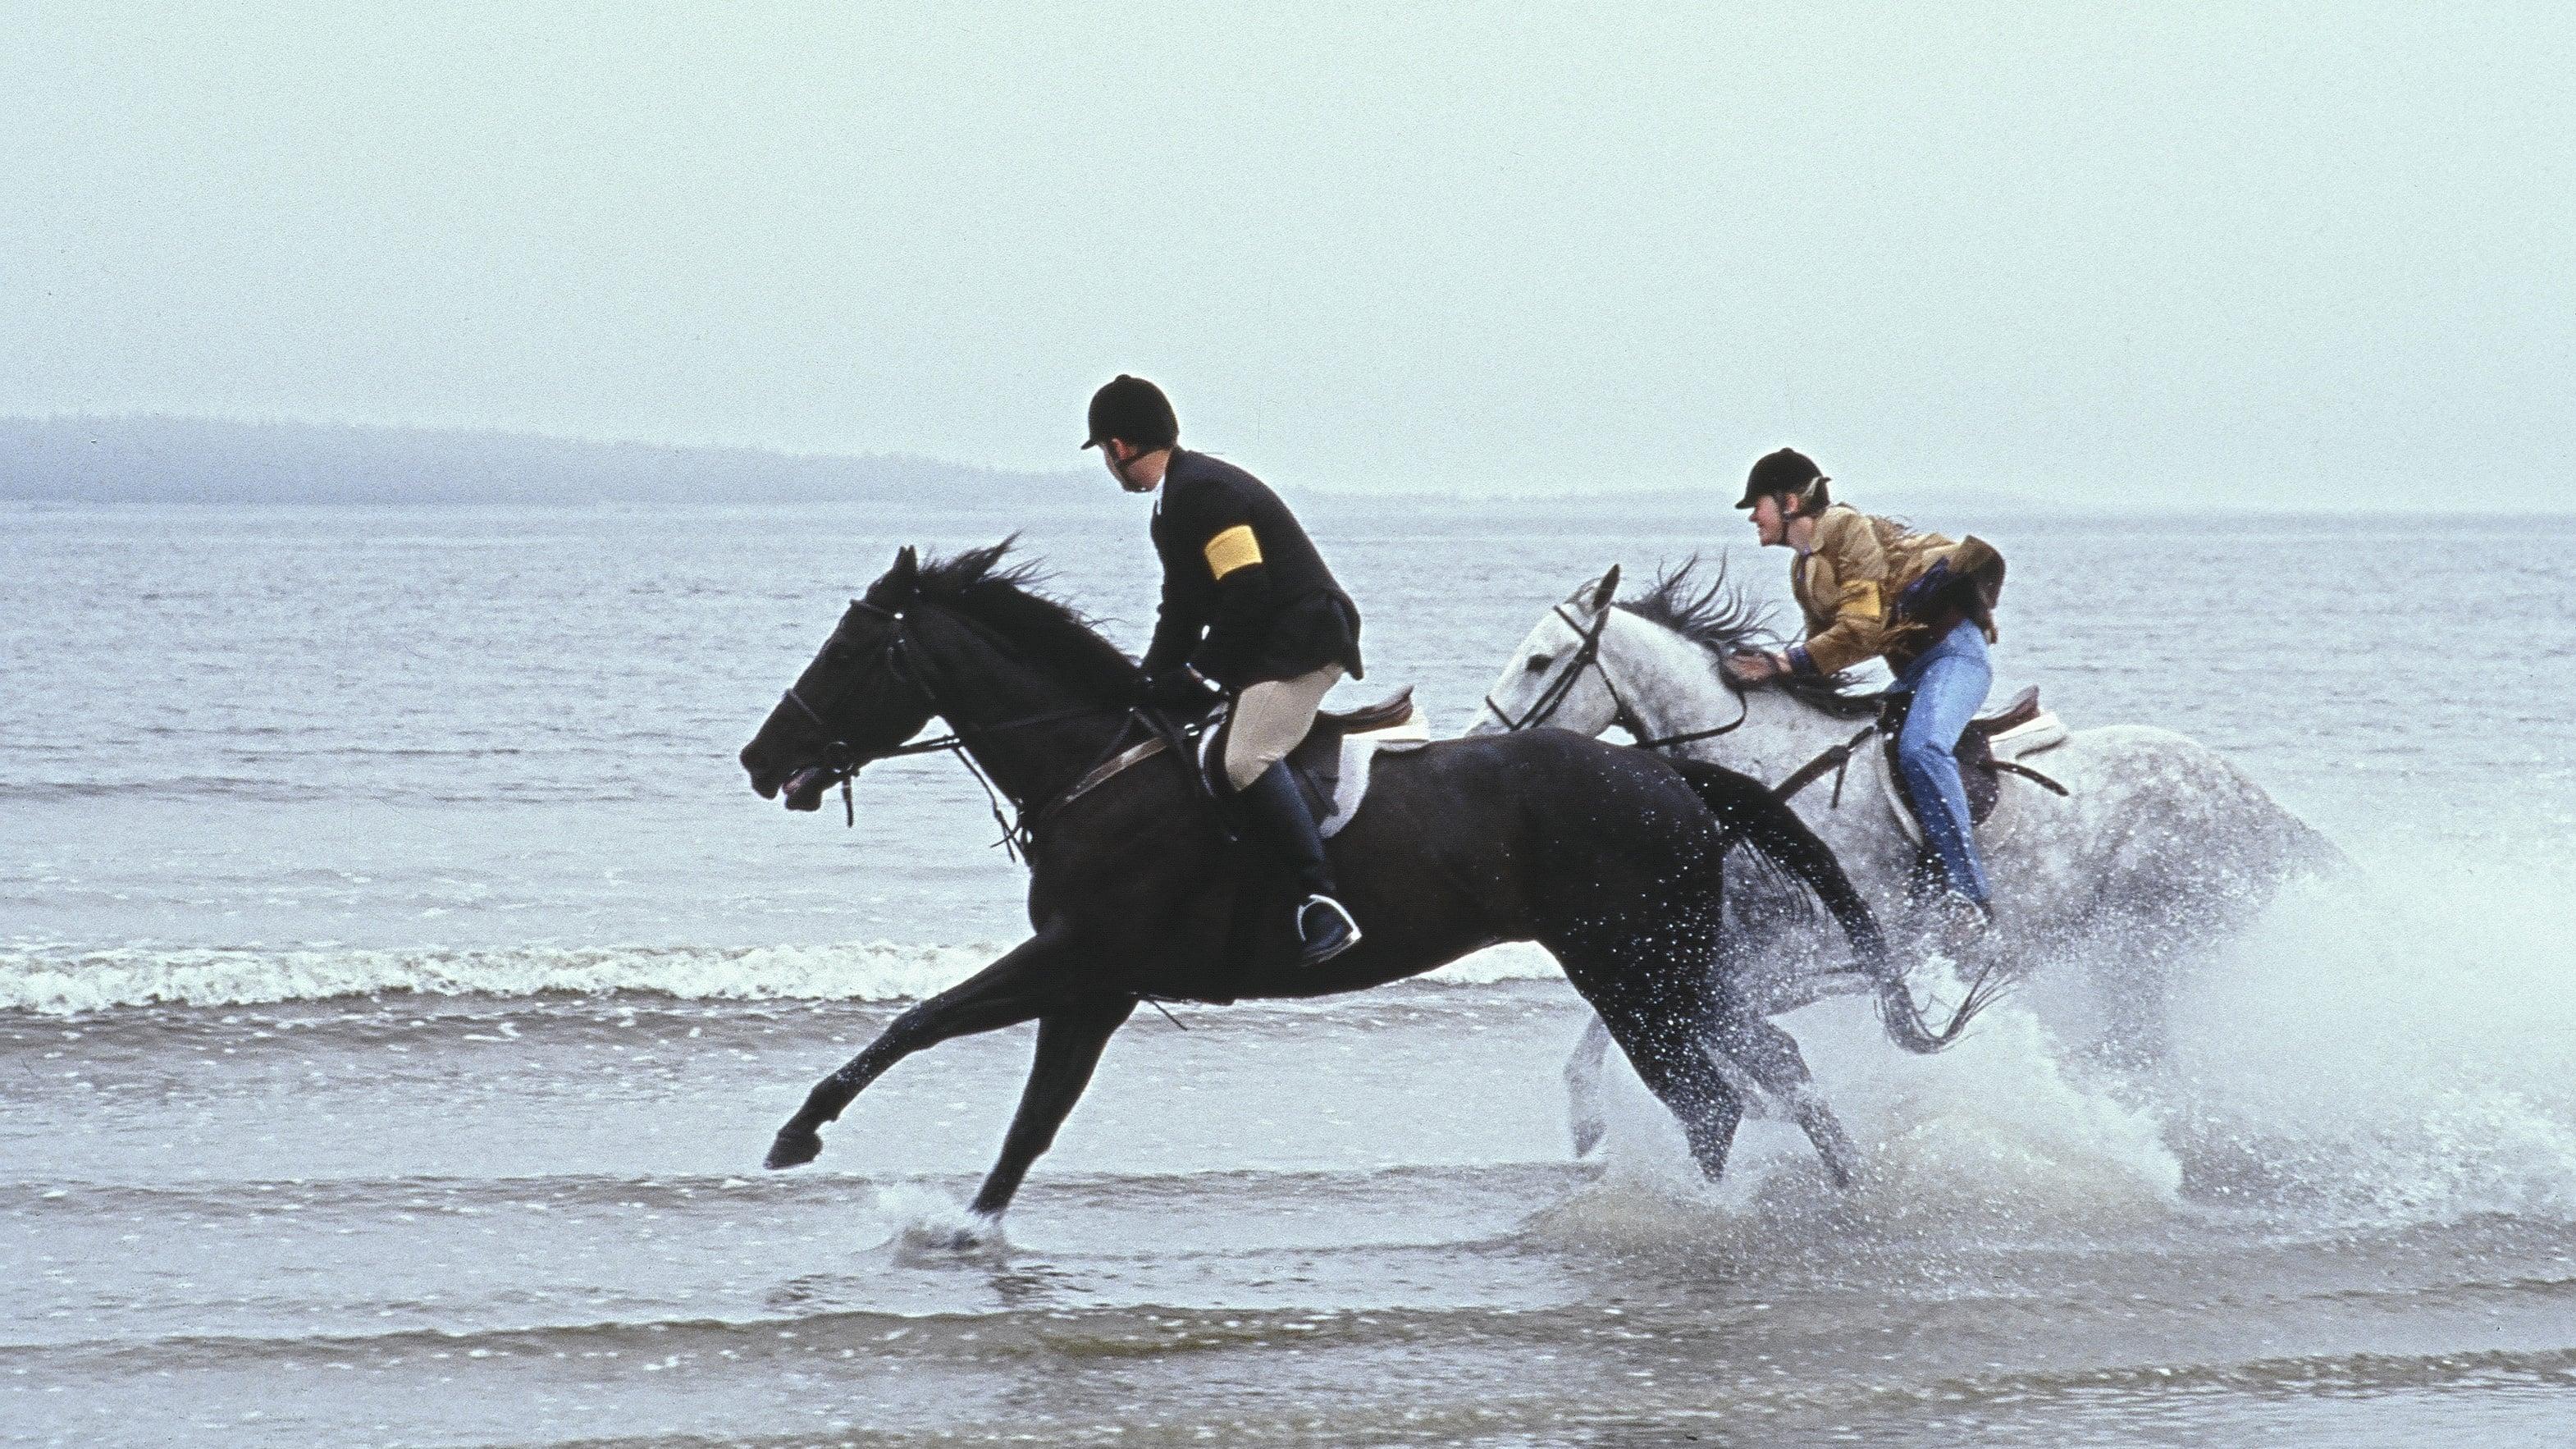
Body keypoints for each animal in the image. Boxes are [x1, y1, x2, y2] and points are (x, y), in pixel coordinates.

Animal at [737, 546, 1978, 1211]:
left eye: (850, 652)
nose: (757, 759)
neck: (1098, 767)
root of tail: (1670, 773)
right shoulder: (1093, 982)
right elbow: (1026, 1120)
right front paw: (963, 1228)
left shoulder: (1080, 957)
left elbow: (922, 1022)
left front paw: (798, 1133)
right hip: (1656, 963)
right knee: (1756, 1068)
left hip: (1632, 963)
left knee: (1715, 1087)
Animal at [1473, 562, 2339, 1150]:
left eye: (1540, 662)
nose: (1481, 746)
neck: (1771, 772)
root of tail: (2255, 801)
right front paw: (1592, 1121)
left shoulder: (1831, 955)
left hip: (2148, 945)